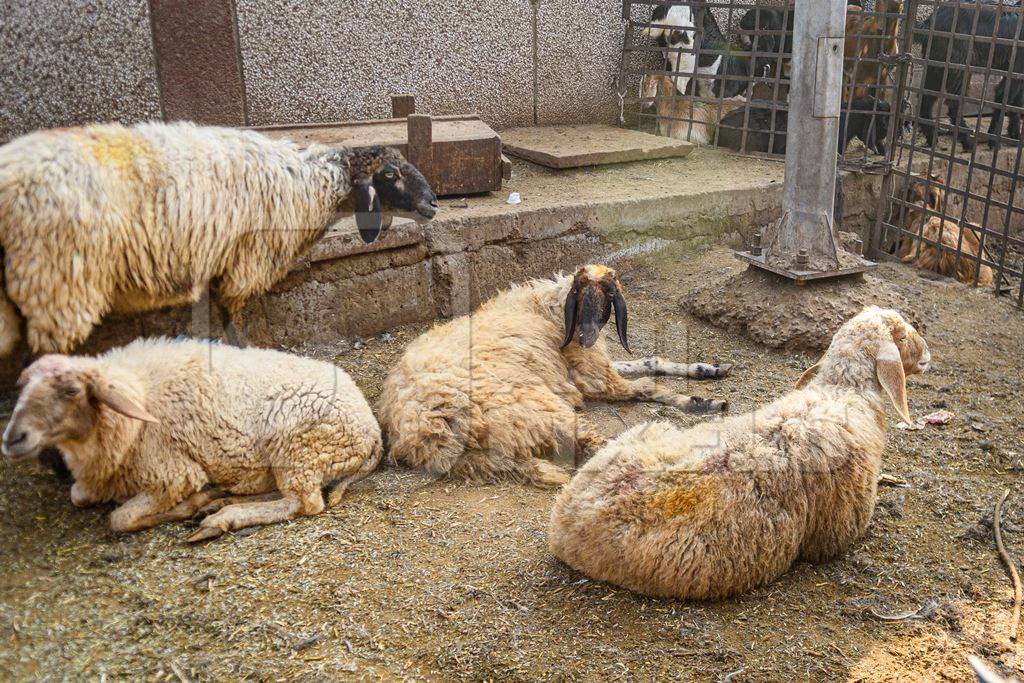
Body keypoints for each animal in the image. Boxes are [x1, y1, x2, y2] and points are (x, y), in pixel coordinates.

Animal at [0, 121, 436, 358]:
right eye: (391, 173)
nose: (433, 203)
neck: (308, 183)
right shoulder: (245, 259)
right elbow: (231, 317)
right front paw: (243, 353)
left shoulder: (219, 258)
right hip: (58, 281)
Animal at [0, 339, 385, 540]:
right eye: (21, 386)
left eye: (70, 391)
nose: (12, 438)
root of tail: (372, 430)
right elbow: (78, 495)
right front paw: (204, 500)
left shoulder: (172, 474)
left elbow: (120, 519)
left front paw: (191, 504)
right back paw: (221, 502)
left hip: (298, 446)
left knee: (303, 503)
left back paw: (220, 518)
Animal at [380, 264, 733, 489]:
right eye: (579, 296)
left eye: (608, 298)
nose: (587, 337)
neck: (547, 308)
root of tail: (429, 436)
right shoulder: (594, 377)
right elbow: (647, 386)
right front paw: (701, 401)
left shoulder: (587, 369)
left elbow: (650, 361)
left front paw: (708, 370)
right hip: (536, 407)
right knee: (593, 444)